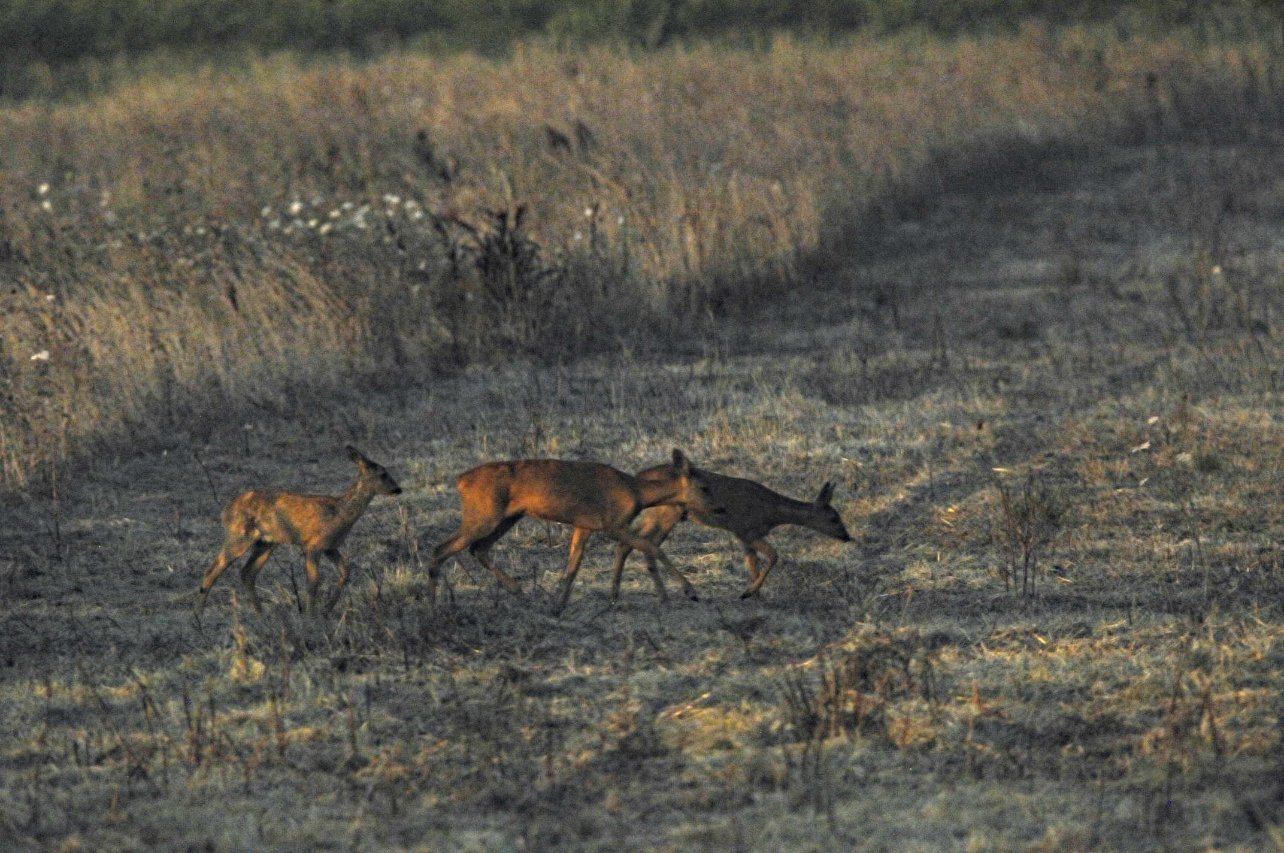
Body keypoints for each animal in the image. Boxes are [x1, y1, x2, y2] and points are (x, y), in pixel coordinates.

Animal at [195, 445, 402, 620]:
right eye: (383, 474)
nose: (398, 489)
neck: (339, 512)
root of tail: (226, 510)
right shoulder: (313, 544)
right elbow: (313, 582)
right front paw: (311, 616)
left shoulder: (330, 546)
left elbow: (345, 571)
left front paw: (326, 610)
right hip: (240, 535)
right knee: (212, 570)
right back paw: (200, 617)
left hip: (267, 543)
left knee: (247, 573)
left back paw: (261, 615)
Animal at [429, 449, 723, 611]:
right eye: (704, 487)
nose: (718, 509)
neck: (636, 492)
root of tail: (461, 481)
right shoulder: (612, 523)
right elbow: (651, 546)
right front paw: (690, 591)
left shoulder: (584, 525)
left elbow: (573, 566)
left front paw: (558, 605)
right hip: (483, 515)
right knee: (440, 549)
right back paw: (433, 604)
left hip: (507, 517)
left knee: (477, 548)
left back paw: (517, 589)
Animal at [610, 466, 852, 600]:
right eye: (834, 518)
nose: (847, 536)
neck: (772, 512)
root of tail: (639, 476)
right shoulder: (745, 529)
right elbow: (773, 556)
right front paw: (749, 593)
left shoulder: (744, 535)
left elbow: (753, 564)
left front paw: (755, 595)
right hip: (668, 511)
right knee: (645, 543)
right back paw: (680, 593)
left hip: (658, 513)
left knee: (631, 542)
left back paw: (623, 594)